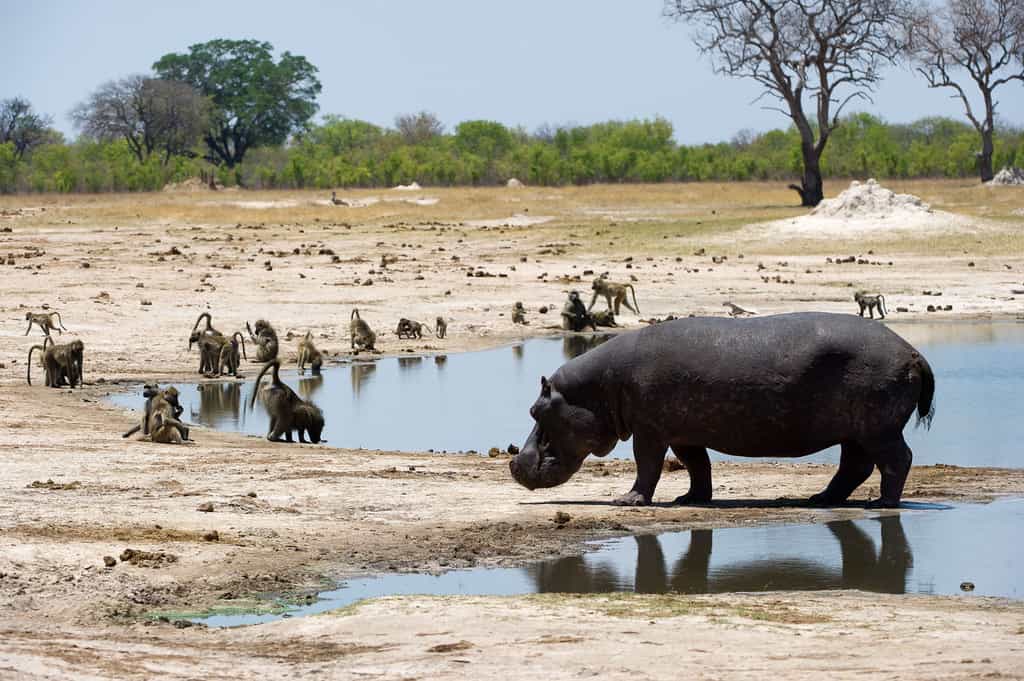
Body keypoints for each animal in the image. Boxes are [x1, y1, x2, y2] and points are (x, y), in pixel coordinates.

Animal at [509, 312, 935, 508]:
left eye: (535, 411)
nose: (514, 464)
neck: (599, 388)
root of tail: (913, 351)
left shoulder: (651, 431)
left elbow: (647, 465)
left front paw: (627, 501)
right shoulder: (683, 433)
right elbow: (697, 466)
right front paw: (690, 500)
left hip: (877, 429)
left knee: (897, 459)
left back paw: (882, 503)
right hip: (856, 431)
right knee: (855, 466)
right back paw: (820, 499)